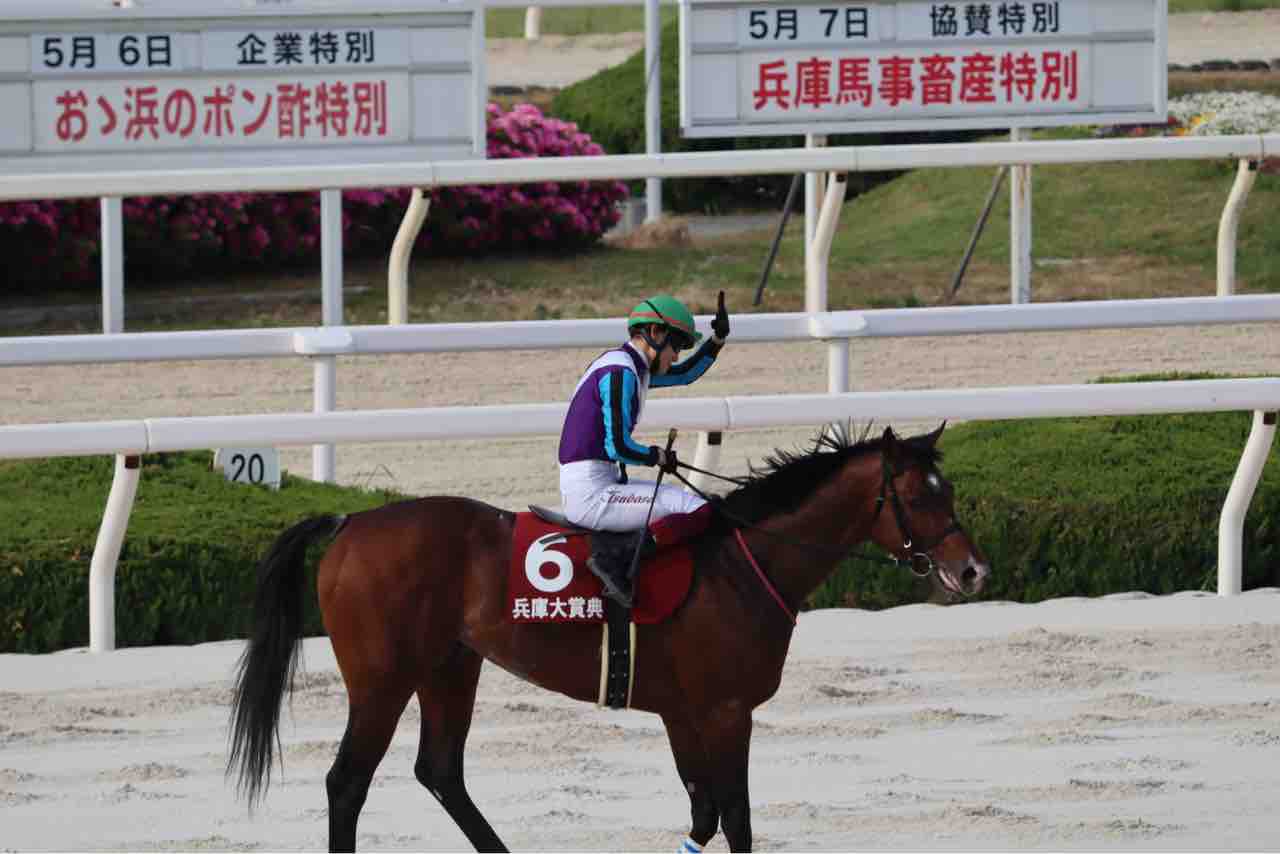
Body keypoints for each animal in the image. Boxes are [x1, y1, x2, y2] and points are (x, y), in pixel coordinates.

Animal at [227, 423, 989, 852]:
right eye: (918, 496)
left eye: (948, 490)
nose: (973, 569)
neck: (745, 561)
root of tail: (351, 523)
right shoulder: (725, 712)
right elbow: (736, 817)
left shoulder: (686, 713)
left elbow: (704, 814)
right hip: (382, 678)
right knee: (347, 782)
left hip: (451, 667)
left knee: (440, 772)